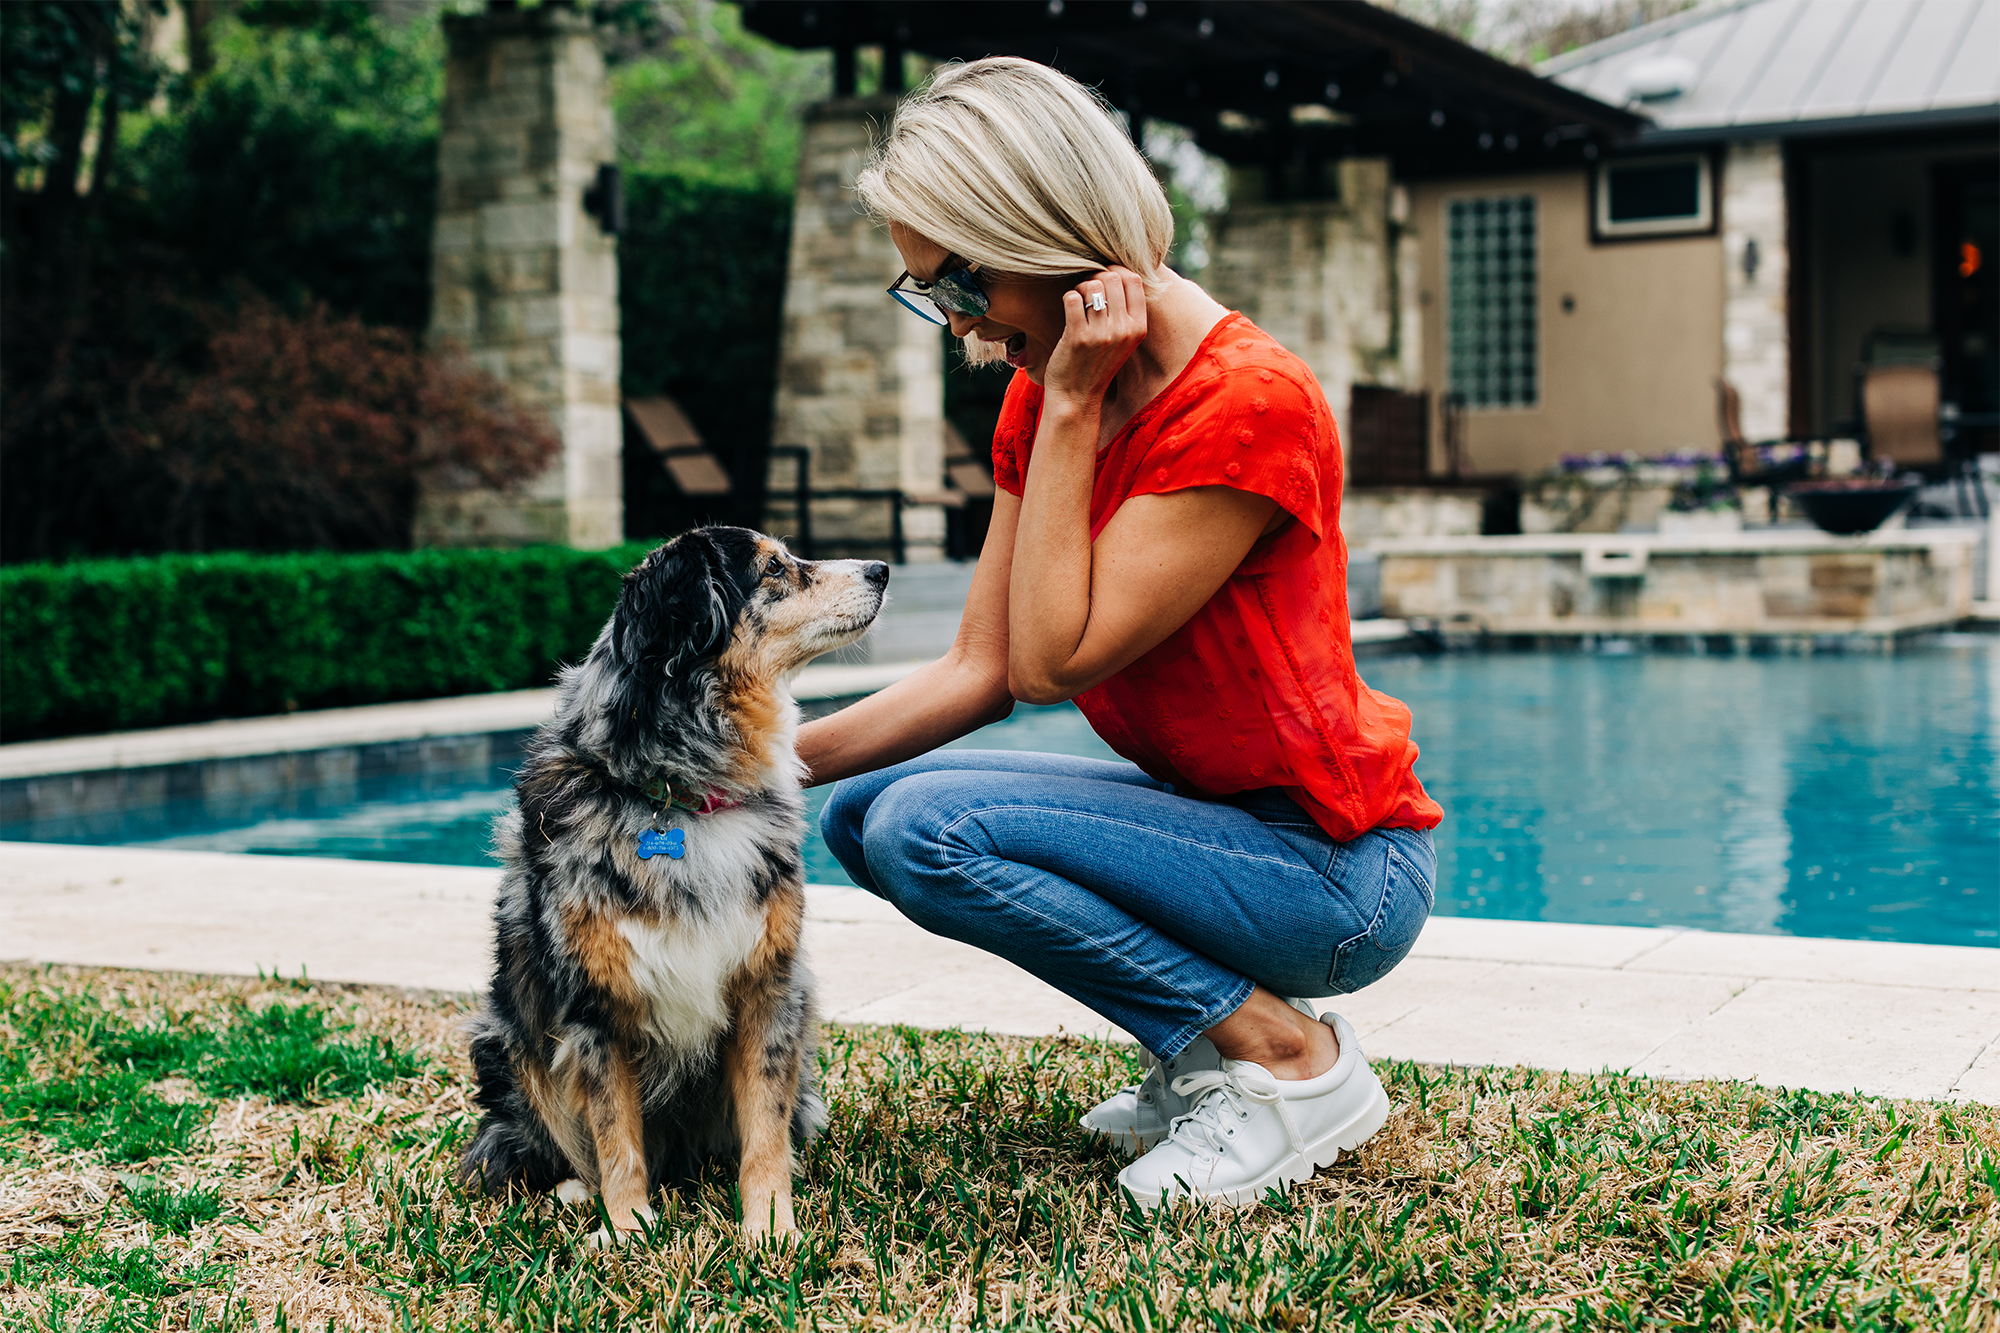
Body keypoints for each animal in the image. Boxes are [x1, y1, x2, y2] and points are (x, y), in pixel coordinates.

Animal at [464, 520, 888, 1232]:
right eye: (775, 569)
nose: (882, 569)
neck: (683, 793)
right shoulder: (596, 1004)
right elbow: (615, 1136)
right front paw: (628, 1227)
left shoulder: (769, 984)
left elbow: (765, 1124)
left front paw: (771, 1227)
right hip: (503, 1039)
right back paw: (574, 1189)